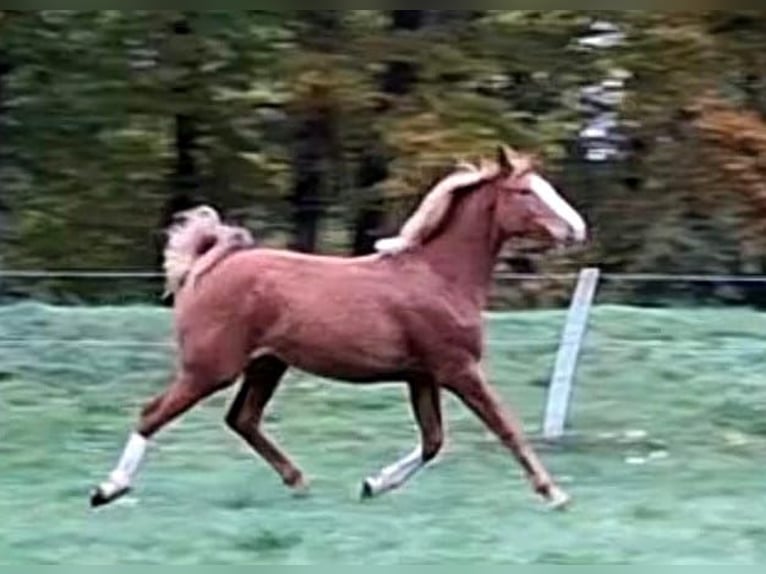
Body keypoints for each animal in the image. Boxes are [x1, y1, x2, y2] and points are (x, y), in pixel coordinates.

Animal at [90, 144, 587, 511]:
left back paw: (298, 480)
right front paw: (555, 494)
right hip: (211, 368)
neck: (439, 276)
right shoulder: (457, 369)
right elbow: (506, 428)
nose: (577, 230)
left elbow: (433, 441)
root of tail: (208, 263)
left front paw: (372, 483)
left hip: (266, 365)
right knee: (153, 413)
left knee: (242, 419)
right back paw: (107, 490)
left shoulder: (422, 375)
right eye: (525, 192)